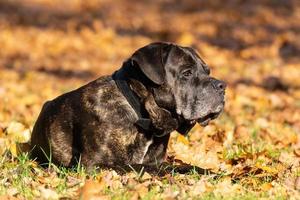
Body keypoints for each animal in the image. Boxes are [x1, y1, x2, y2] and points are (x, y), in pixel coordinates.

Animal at [30, 42, 226, 173]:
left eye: (207, 71)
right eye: (187, 73)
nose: (222, 86)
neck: (142, 112)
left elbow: (182, 166)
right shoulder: (95, 164)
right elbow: (142, 166)